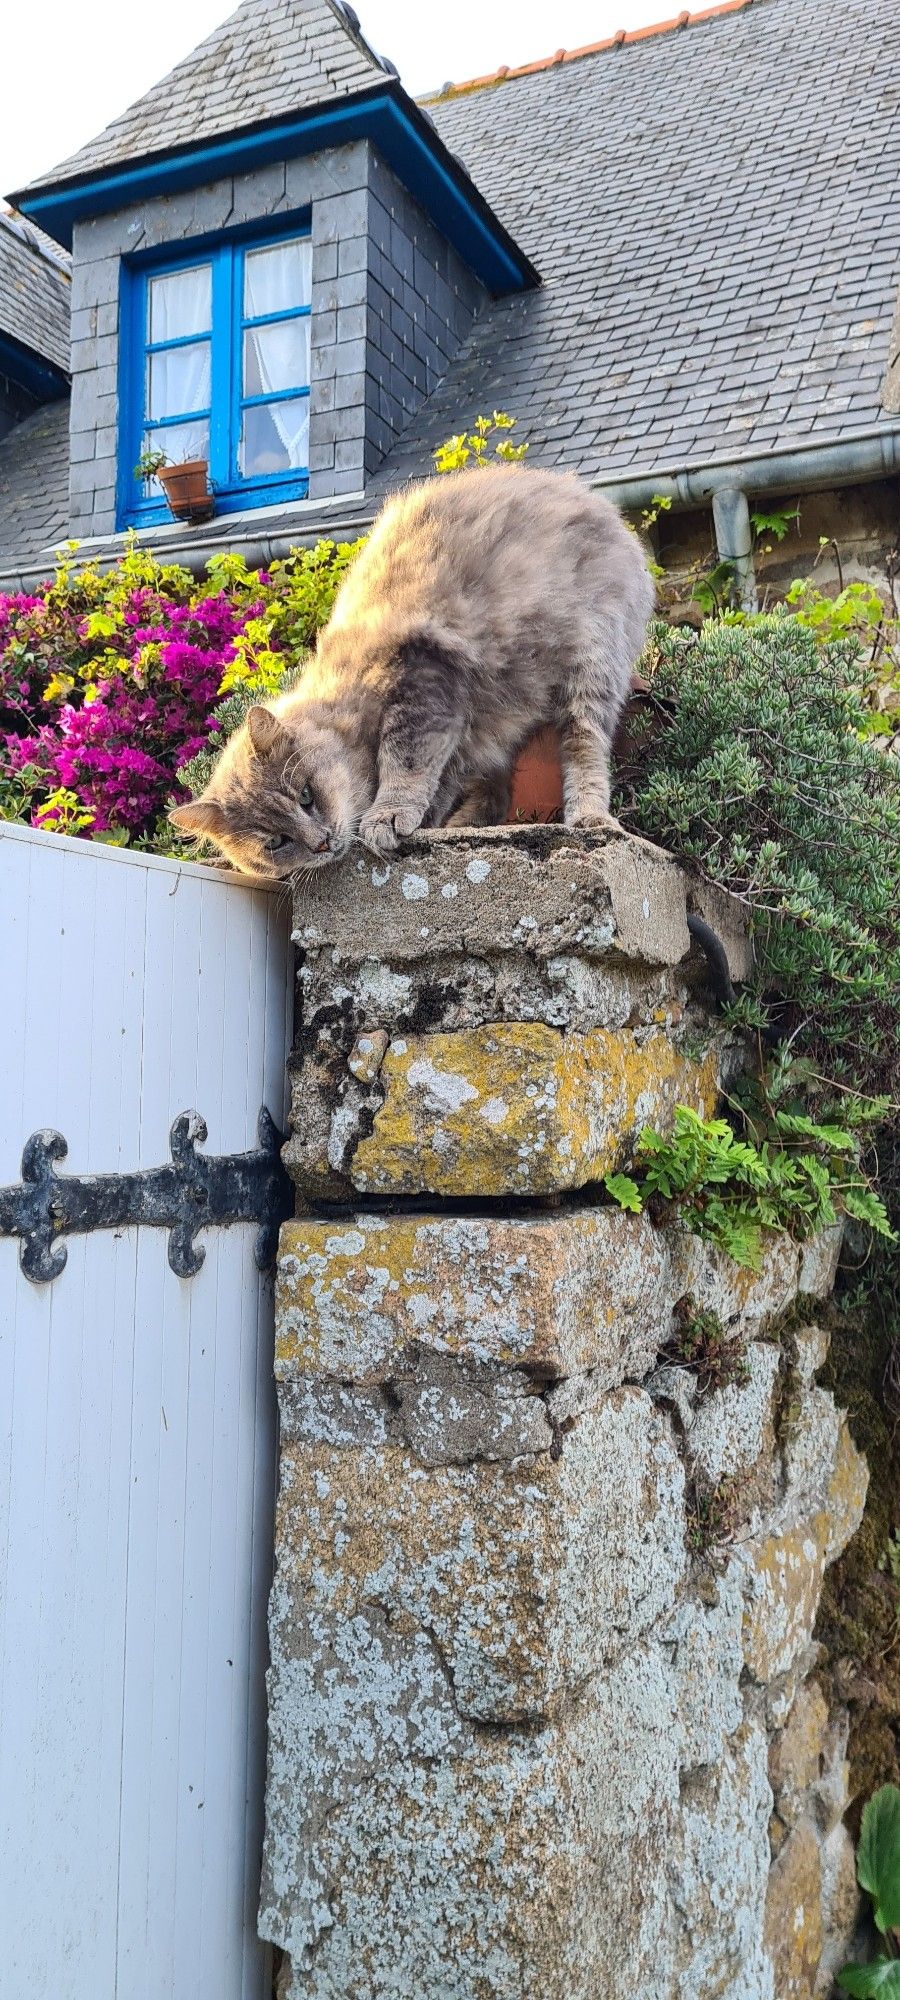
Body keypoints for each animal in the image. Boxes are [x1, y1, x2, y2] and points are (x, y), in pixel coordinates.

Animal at [171, 468, 648, 884]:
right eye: (275, 842)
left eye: (306, 796)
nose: (322, 843)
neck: (345, 690)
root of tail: (592, 499)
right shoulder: (459, 734)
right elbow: (436, 783)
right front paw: (424, 823)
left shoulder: (425, 686)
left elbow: (405, 763)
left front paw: (388, 817)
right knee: (496, 793)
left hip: (591, 670)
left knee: (585, 751)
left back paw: (590, 818)